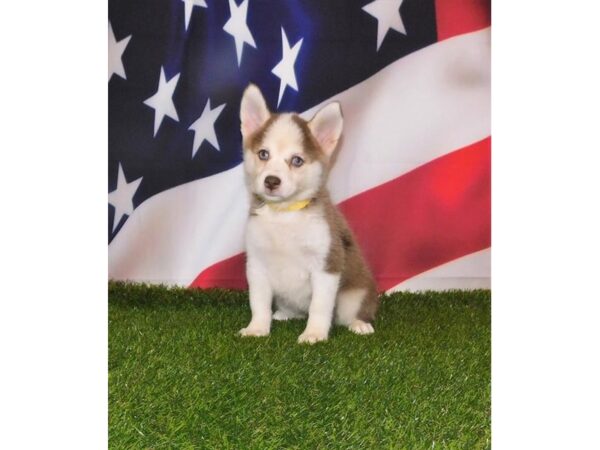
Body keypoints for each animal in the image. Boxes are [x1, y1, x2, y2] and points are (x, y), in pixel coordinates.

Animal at [237, 84, 378, 344]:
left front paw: (314, 334)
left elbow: (319, 306)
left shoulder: (327, 264)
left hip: (355, 294)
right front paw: (257, 328)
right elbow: (258, 302)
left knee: (352, 311)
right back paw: (284, 313)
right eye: (263, 154)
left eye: (297, 160)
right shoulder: (257, 264)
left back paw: (359, 324)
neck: (284, 214)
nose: (271, 181)